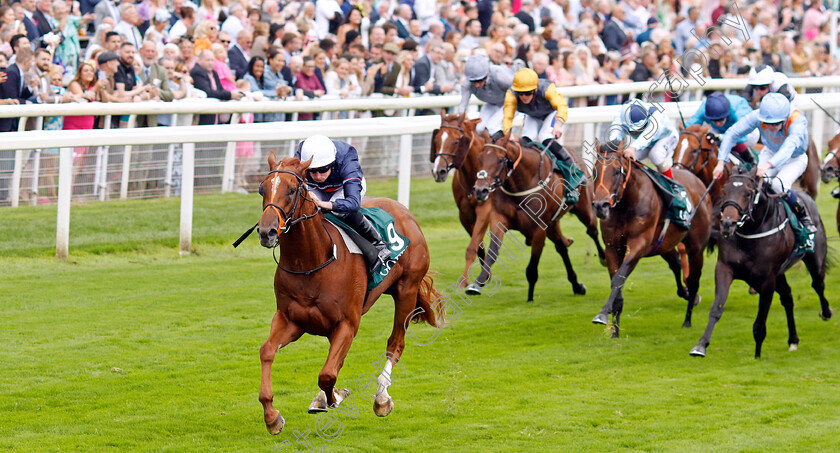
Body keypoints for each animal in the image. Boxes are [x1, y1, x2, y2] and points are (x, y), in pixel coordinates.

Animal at [254, 154, 440, 432]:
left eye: (292, 189)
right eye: (262, 189)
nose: (266, 231)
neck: (310, 263)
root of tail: (404, 210)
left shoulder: (347, 324)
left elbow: (327, 374)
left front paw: (336, 397)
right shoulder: (291, 321)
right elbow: (267, 351)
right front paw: (272, 416)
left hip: (407, 289)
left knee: (395, 343)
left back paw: (382, 398)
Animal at [466, 129, 604, 302]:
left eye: (500, 160)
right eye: (480, 158)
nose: (480, 190)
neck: (521, 185)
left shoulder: (539, 228)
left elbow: (532, 266)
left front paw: (530, 298)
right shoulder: (499, 219)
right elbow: (492, 253)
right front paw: (477, 284)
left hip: (584, 209)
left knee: (592, 230)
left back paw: (603, 258)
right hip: (552, 224)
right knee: (561, 247)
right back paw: (576, 285)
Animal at [588, 140, 712, 336]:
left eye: (616, 171)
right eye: (595, 171)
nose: (601, 205)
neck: (626, 205)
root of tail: (699, 183)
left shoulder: (638, 245)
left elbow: (618, 279)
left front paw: (602, 315)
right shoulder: (611, 248)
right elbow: (617, 285)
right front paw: (615, 332)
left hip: (696, 248)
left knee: (694, 281)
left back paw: (687, 319)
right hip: (664, 244)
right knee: (676, 264)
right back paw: (684, 294)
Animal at [688, 164, 832, 358]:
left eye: (748, 193)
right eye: (724, 190)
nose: (727, 224)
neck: (751, 232)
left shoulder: (767, 280)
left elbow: (760, 321)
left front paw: (757, 355)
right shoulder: (725, 268)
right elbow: (716, 308)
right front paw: (701, 345)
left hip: (814, 259)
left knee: (818, 284)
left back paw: (826, 312)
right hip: (779, 275)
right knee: (788, 297)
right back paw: (793, 340)